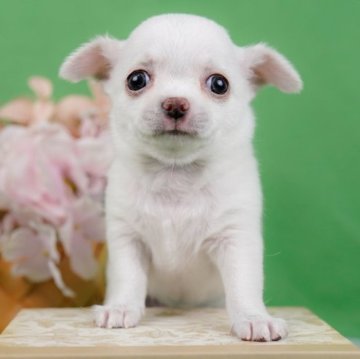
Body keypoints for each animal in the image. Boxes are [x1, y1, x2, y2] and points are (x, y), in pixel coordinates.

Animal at [60, 14, 302, 342]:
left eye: (219, 84)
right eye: (136, 80)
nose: (175, 103)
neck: (175, 177)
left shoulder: (236, 239)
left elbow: (243, 285)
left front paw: (254, 318)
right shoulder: (128, 239)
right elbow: (128, 277)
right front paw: (121, 308)